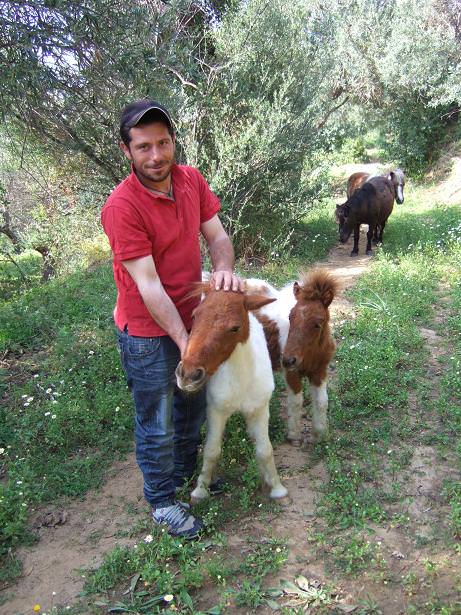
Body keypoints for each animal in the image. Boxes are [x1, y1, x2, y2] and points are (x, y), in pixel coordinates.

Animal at [176, 286, 288, 502]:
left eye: (235, 328)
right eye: (194, 316)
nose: (188, 375)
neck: (241, 381)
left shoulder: (260, 410)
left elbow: (265, 450)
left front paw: (277, 487)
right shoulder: (216, 411)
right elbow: (212, 451)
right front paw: (201, 489)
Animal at [244, 270, 338, 448]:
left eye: (318, 323)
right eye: (290, 316)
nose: (288, 359)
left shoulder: (320, 371)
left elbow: (322, 402)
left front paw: (320, 435)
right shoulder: (291, 373)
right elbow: (296, 402)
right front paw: (294, 435)